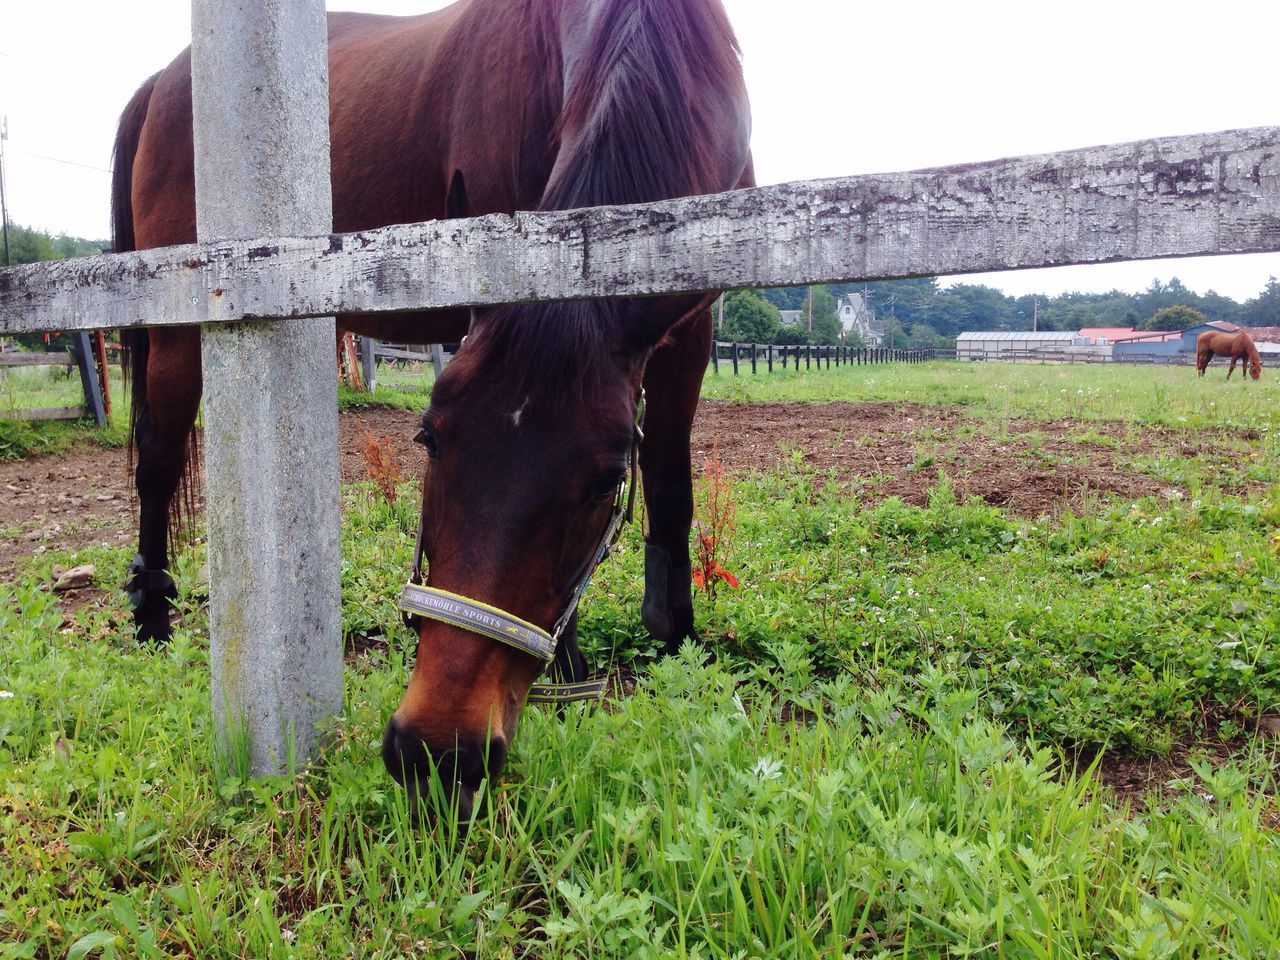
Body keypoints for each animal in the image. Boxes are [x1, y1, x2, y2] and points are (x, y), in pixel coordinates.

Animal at [115, 0, 752, 814]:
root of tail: (160, 84)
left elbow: (672, 483)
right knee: (159, 462)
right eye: (431, 439)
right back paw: (152, 617)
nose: (437, 754)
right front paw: (573, 668)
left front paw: (676, 641)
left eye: (610, 479)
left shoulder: (689, 323)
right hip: (176, 330)